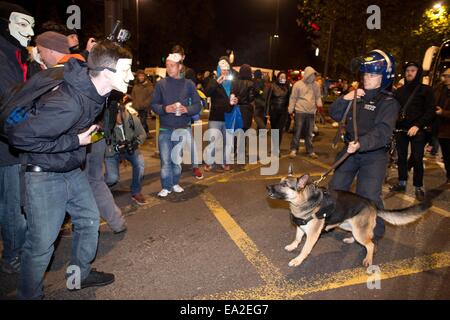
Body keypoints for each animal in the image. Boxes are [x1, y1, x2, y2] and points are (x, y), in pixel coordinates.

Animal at [268, 168, 428, 268]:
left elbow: (305, 249)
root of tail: (372, 204)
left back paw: (368, 258)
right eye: (280, 181)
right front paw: (292, 246)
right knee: (360, 237)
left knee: (370, 244)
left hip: (359, 230)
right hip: (346, 224)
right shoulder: (301, 227)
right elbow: (297, 238)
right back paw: (351, 240)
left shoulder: (312, 235)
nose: (267, 187)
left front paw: (298, 260)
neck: (305, 201)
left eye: (284, 184)